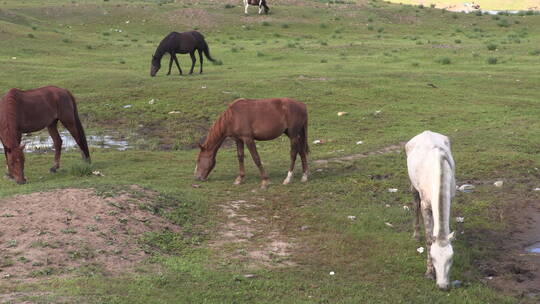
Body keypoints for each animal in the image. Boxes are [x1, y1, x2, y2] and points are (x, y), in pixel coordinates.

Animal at [404, 130, 456, 290]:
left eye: (451, 258)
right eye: (433, 258)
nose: (443, 286)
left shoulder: (450, 198)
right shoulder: (426, 204)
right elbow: (428, 238)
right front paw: (429, 273)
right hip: (413, 185)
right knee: (415, 203)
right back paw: (416, 234)